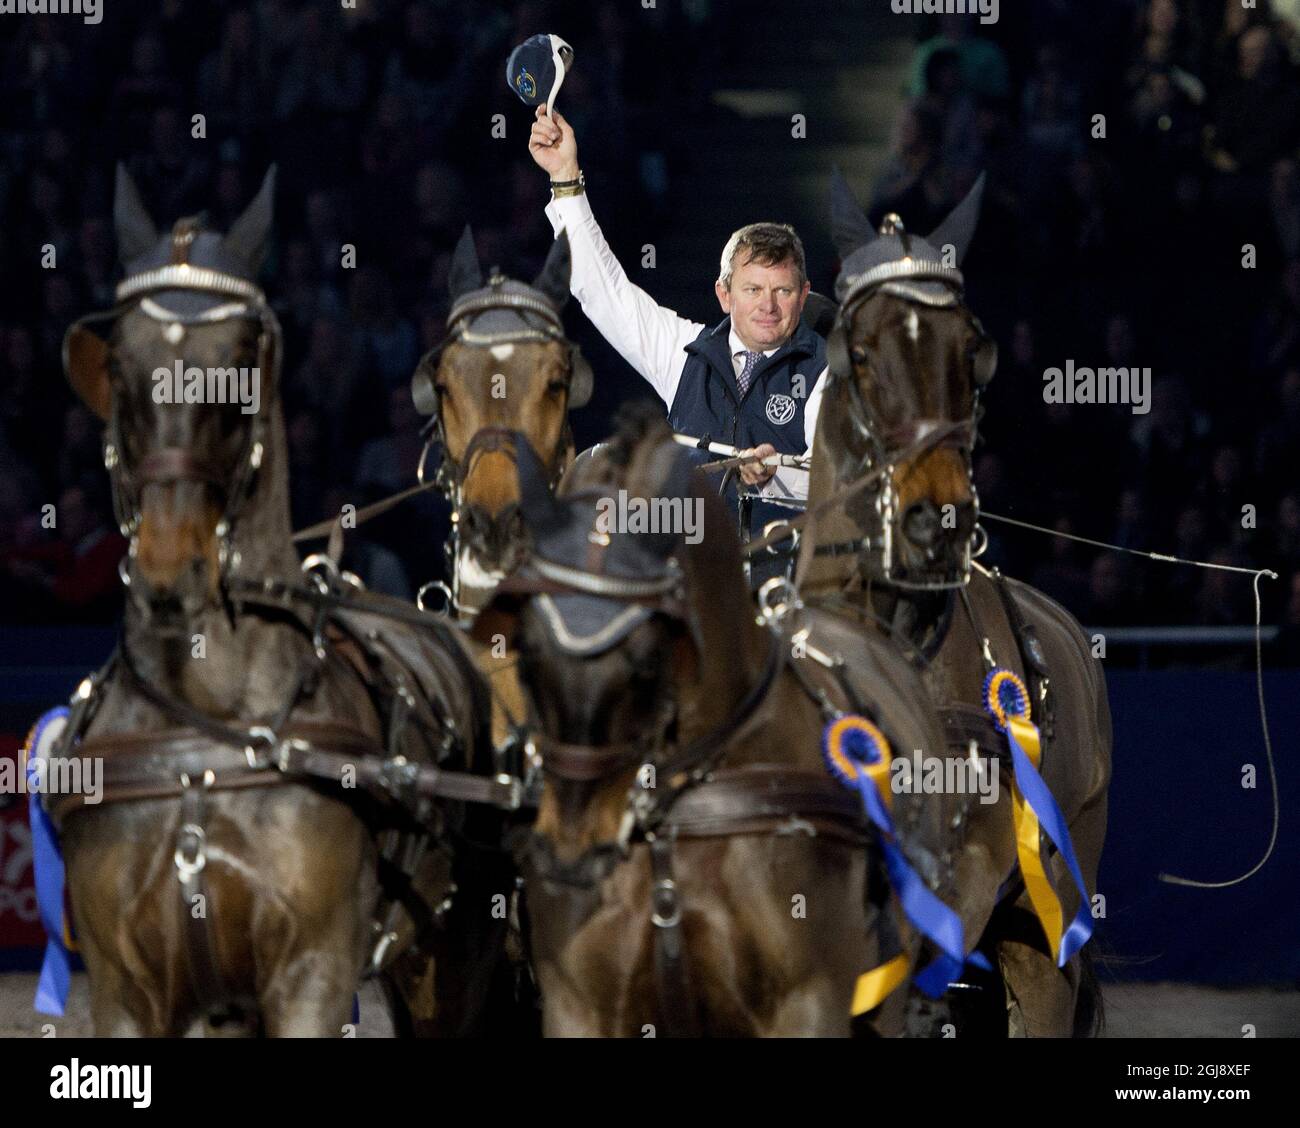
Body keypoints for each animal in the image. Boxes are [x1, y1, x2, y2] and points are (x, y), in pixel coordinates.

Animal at [54, 167, 512, 1039]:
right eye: (120, 366)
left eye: (241, 361)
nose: (171, 566)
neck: (207, 733)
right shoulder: (128, 994)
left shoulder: (311, 977)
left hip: (454, 955)